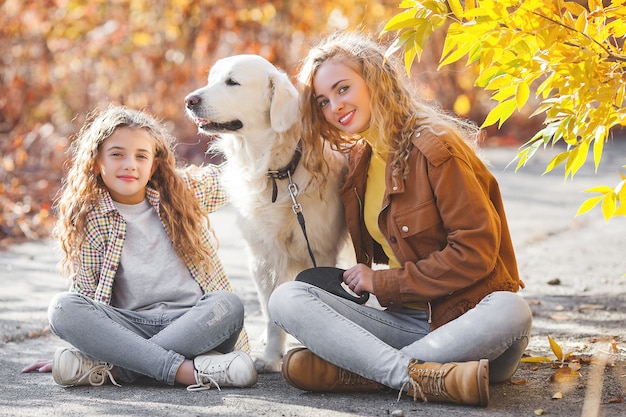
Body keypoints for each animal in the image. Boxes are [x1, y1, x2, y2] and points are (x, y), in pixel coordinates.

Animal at [183, 54, 348, 370]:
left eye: (232, 82)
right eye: (212, 79)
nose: (189, 100)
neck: (279, 171)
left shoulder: (320, 250)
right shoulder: (263, 257)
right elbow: (271, 313)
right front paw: (271, 357)